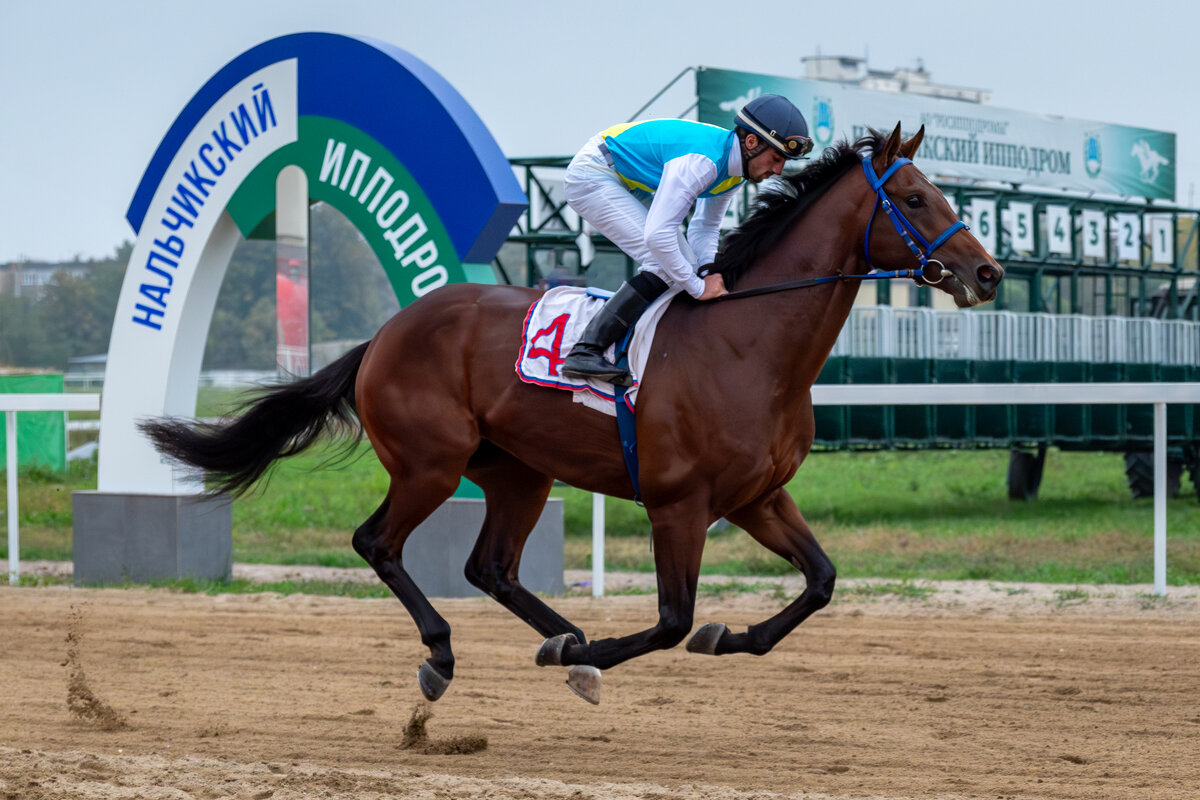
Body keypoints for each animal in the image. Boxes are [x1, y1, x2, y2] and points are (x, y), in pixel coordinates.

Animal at [138, 122, 1003, 705]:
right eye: (917, 198)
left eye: (941, 193)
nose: (988, 274)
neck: (748, 344)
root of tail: (384, 333)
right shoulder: (678, 504)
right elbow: (672, 620)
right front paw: (621, 651)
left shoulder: (757, 497)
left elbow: (820, 581)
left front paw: (730, 636)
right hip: (430, 463)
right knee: (377, 542)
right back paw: (451, 654)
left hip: (516, 472)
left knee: (490, 567)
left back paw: (568, 639)